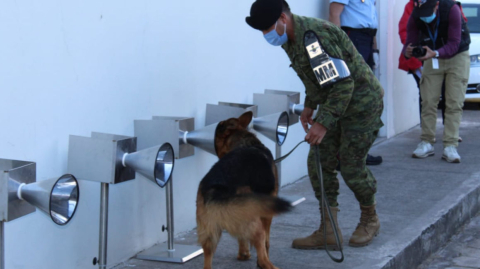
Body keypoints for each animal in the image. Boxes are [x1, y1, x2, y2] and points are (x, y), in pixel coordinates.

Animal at [196, 110, 292, 268]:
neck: (245, 142)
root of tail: (216, 191)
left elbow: (242, 239)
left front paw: (243, 254)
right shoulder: (266, 213)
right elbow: (267, 243)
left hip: (209, 232)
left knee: (208, 259)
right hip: (254, 222)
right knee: (263, 252)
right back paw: (270, 265)